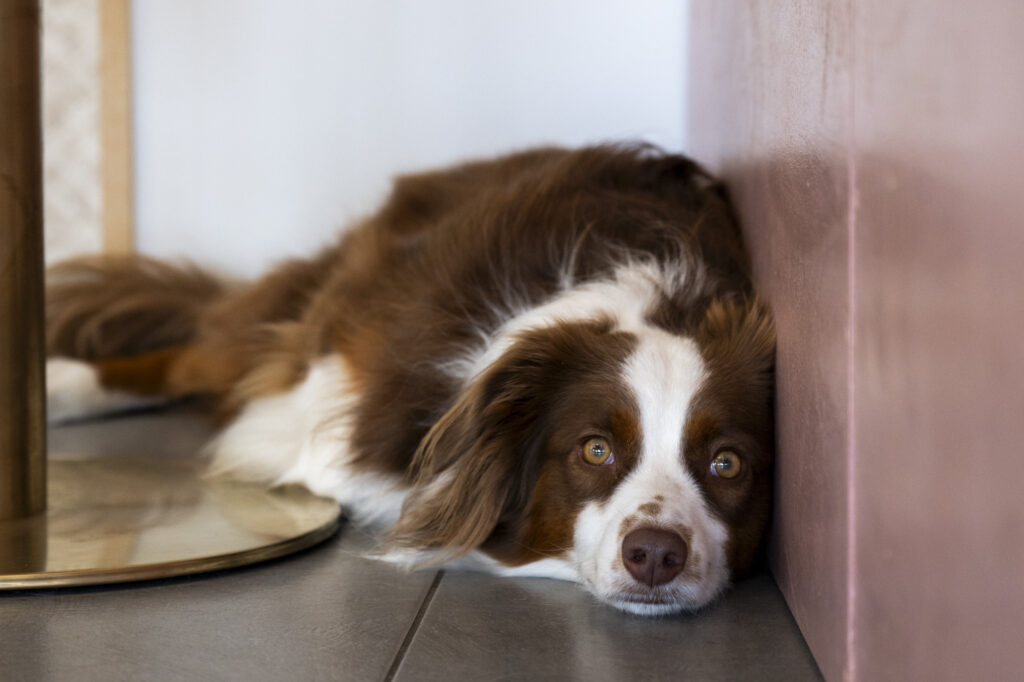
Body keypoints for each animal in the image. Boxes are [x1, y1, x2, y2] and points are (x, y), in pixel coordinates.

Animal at [44, 146, 770, 614]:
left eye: (728, 463)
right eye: (596, 449)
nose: (655, 555)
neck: (657, 299)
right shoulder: (325, 409)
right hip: (311, 318)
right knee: (197, 351)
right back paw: (58, 387)